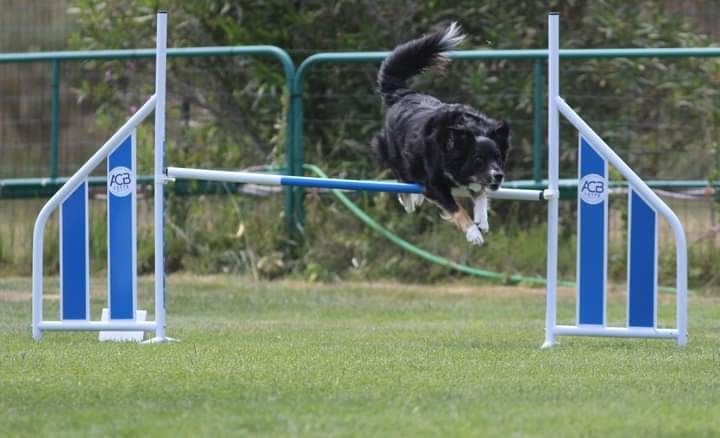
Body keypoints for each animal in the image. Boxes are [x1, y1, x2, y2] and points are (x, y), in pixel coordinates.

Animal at [374, 23, 510, 246]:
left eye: (497, 157)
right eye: (478, 159)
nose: (498, 176)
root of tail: (403, 94)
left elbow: (481, 194)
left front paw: (482, 220)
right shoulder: (435, 183)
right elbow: (456, 207)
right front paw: (473, 232)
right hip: (393, 150)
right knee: (401, 173)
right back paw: (410, 200)